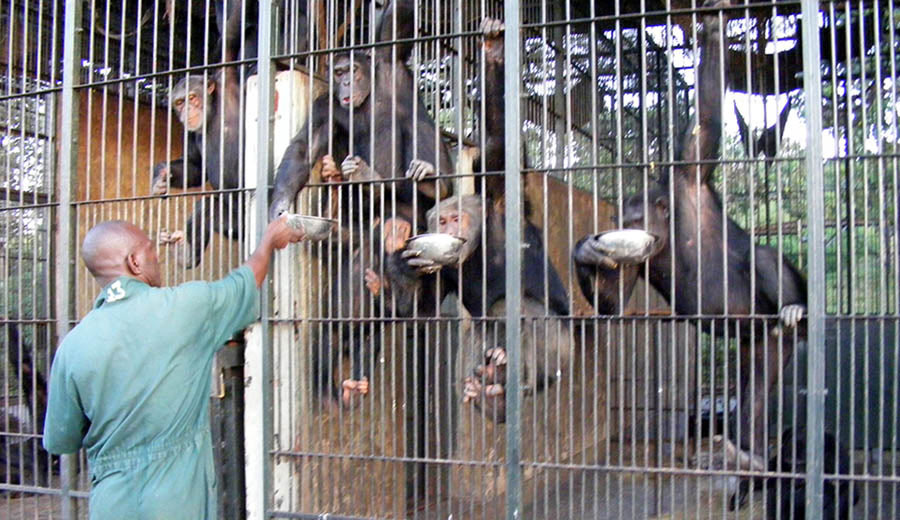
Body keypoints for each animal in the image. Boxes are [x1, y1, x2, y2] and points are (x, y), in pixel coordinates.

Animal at [151, 0, 250, 268]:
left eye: (193, 97)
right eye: (179, 102)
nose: (188, 109)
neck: (213, 112)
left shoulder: (226, 74)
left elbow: (232, 32)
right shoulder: (188, 132)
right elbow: (195, 165)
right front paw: (161, 176)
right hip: (234, 224)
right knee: (207, 209)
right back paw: (185, 253)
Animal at [572, 0, 804, 464]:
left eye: (636, 220)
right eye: (623, 221)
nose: (628, 229)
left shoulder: (687, 175)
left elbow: (707, 124)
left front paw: (714, 28)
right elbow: (613, 304)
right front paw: (586, 250)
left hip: (775, 331)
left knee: (765, 260)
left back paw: (791, 308)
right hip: (754, 343)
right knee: (754, 388)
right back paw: (743, 451)